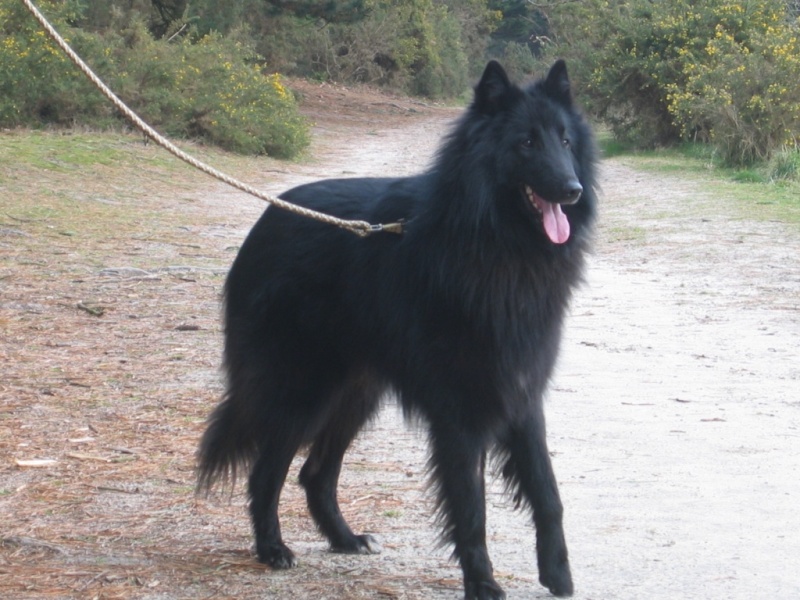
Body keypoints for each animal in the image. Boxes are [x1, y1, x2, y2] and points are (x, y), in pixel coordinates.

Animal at [198, 61, 596, 600]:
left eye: (566, 140)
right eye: (526, 143)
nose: (573, 190)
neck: (491, 240)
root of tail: (267, 218)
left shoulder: (522, 395)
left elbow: (547, 491)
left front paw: (558, 574)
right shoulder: (460, 413)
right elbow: (471, 507)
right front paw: (482, 582)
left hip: (354, 396)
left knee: (314, 474)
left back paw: (345, 539)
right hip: (304, 392)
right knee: (267, 473)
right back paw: (272, 549)